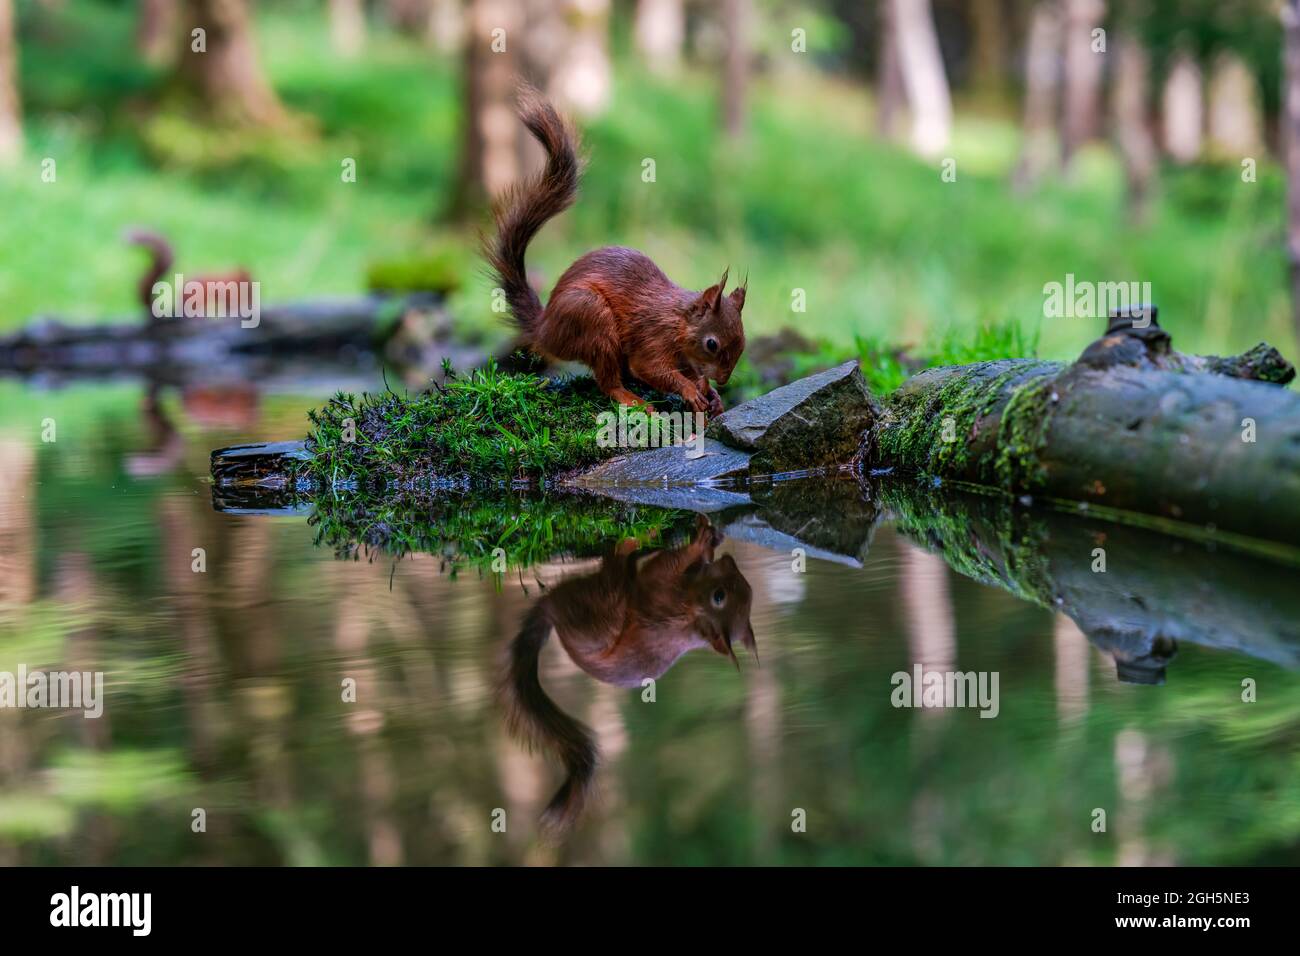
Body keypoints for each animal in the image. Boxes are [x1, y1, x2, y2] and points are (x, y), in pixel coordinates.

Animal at [484, 86, 747, 417]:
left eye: (743, 341)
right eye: (712, 344)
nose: (724, 379)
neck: (677, 319)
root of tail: (544, 329)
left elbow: (690, 372)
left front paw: (711, 393)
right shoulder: (652, 336)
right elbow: (650, 368)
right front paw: (691, 390)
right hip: (591, 317)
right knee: (608, 381)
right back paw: (634, 400)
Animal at [500, 515, 756, 838]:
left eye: (736, 592)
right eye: (721, 595)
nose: (730, 560)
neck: (691, 615)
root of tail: (552, 613)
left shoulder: (663, 601)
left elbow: (666, 567)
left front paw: (699, 544)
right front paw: (705, 542)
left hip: (603, 609)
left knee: (615, 569)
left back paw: (634, 541)